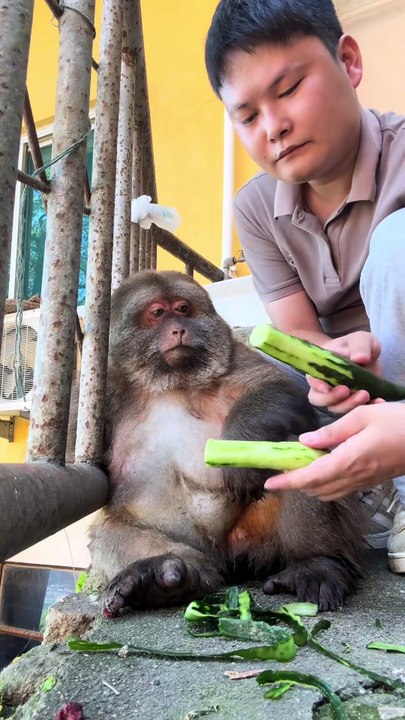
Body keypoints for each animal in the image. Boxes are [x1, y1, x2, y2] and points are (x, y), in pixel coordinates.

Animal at [87, 270, 365, 615]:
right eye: (158, 313)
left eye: (183, 309)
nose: (179, 329)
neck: (171, 384)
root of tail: (225, 558)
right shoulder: (108, 390)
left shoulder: (236, 356)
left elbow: (283, 390)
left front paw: (240, 452)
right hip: (197, 550)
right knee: (111, 531)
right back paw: (163, 579)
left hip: (255, 540)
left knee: (296, 452)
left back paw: (316, 562)